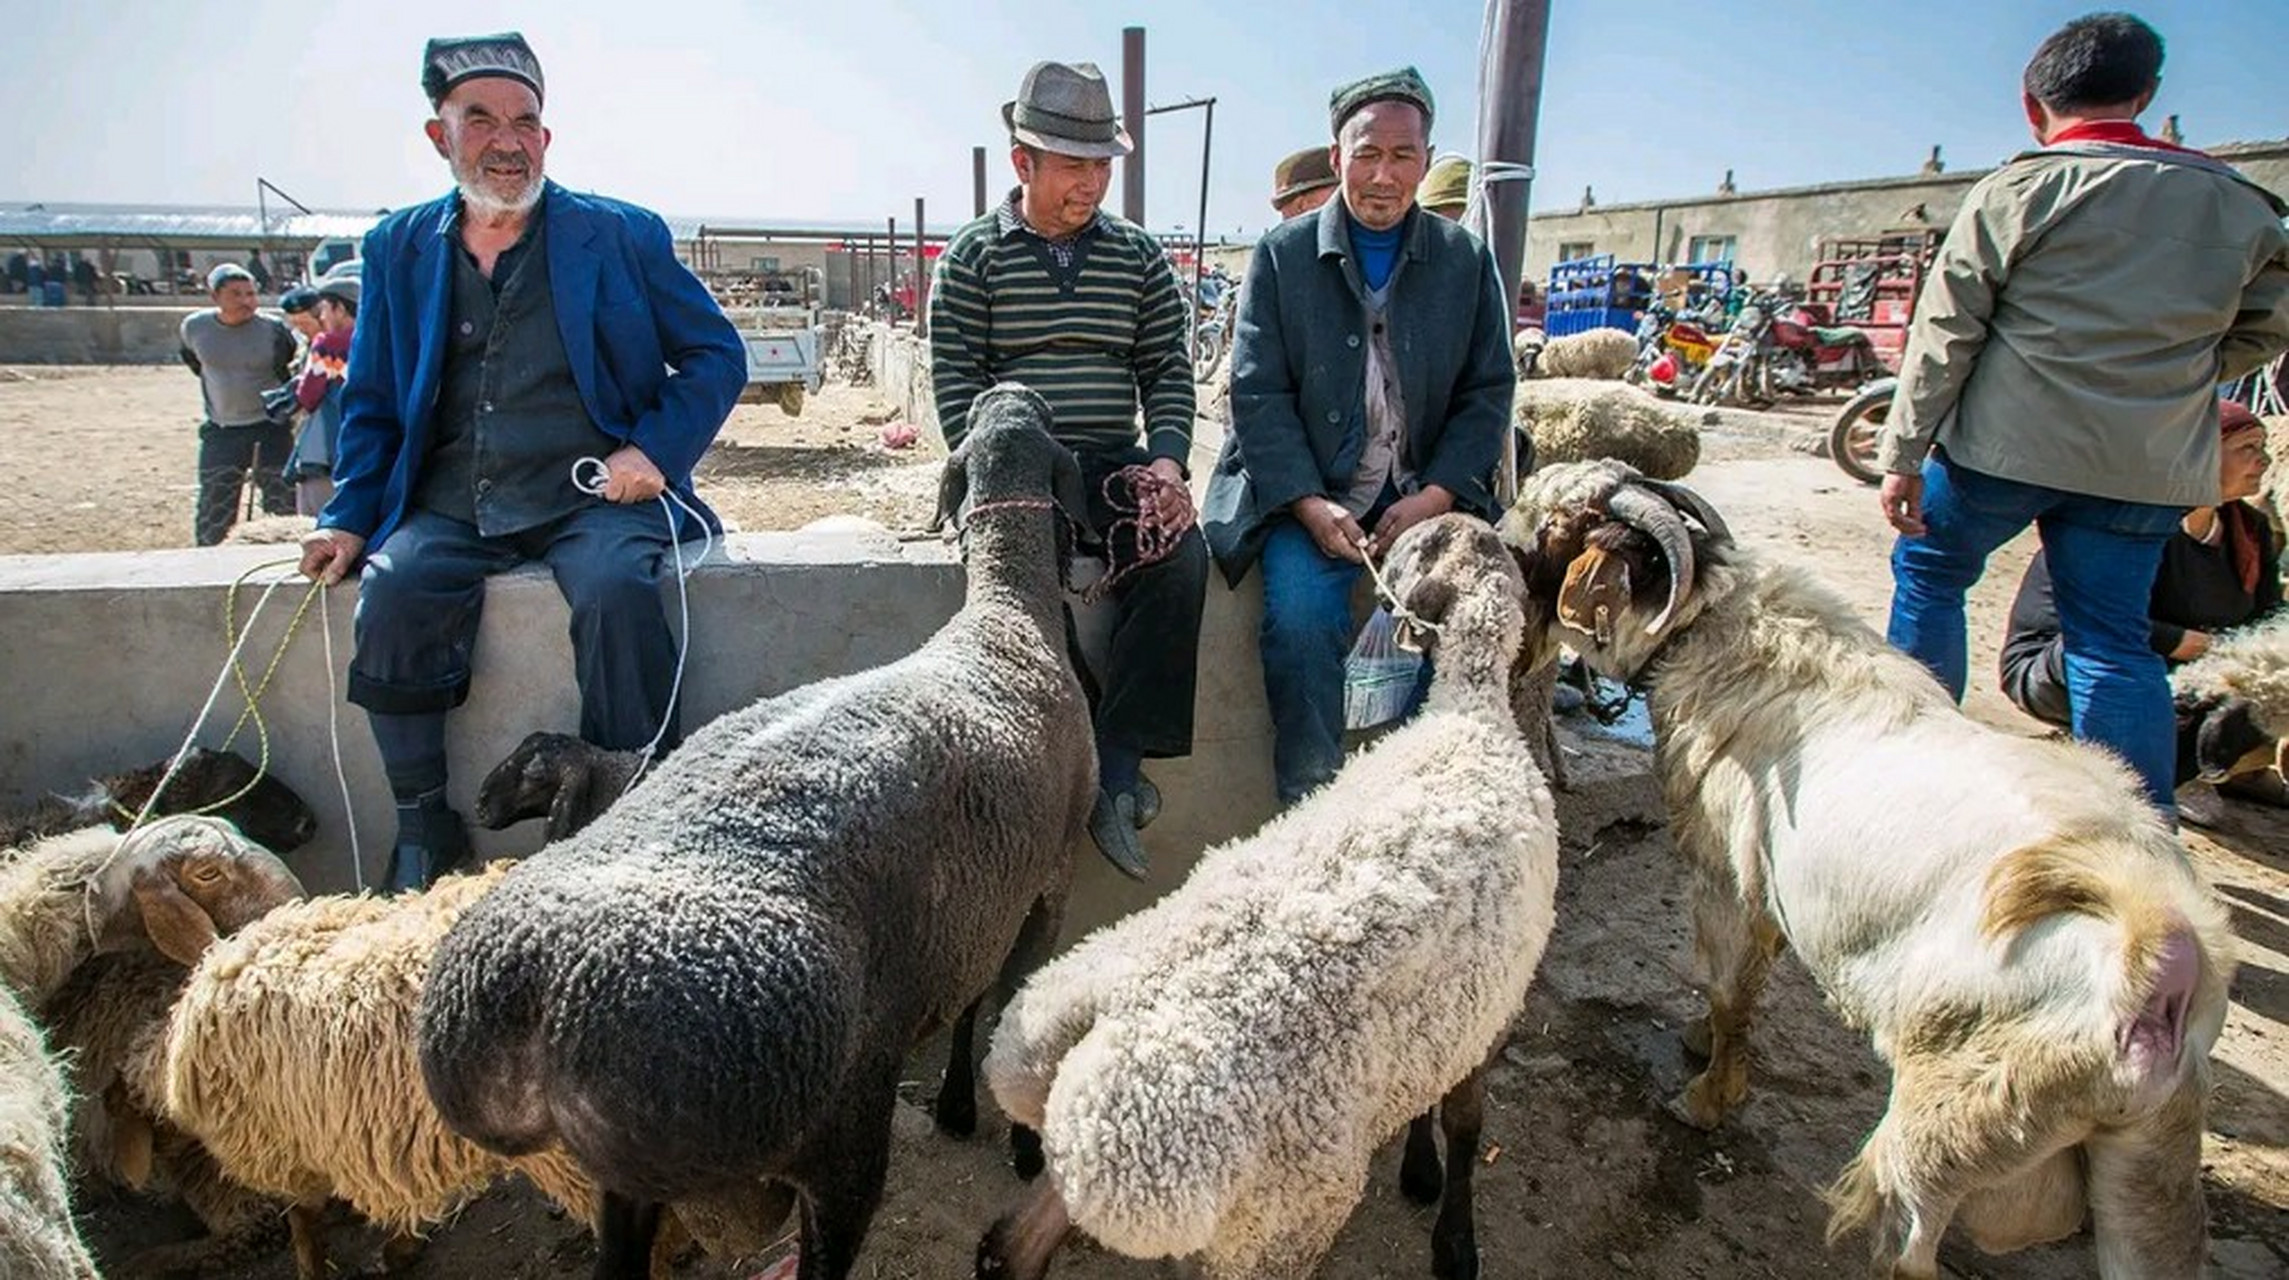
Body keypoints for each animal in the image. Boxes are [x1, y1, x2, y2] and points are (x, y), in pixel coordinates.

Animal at [421, 384, 1107, 1280]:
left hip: (634, 1176)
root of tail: (534, 997)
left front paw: (960, 1109)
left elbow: (971, 1001)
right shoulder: (1047, 878)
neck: (1008, 620)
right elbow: (1001, 1007)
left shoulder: (981, 906)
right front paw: (1011, 1138)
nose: (1014, 390)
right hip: (834, 1123)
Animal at [975, 512, 1565, 1280]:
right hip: (1273, 1225)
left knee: (1008, 1249)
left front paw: (1423, 1173)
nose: (1372, 548)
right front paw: (1453, 1237)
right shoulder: (1497, 1000)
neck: (1469, 714)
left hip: (1101, 1183)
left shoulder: (1453, 1014)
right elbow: (1466, 1121)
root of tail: (1072, 1048)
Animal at [1501, 462, 2234, 1280]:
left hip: (1954, 1111)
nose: (1499, 537)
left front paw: (1706, 1098)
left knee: (1909, 1239)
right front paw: (1698, 1043)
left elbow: (1729, 990)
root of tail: (2164, 962)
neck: (1718, 634)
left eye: (1555, 525)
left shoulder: (1728, 878)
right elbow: (1746, 984)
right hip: (2144, 1162)